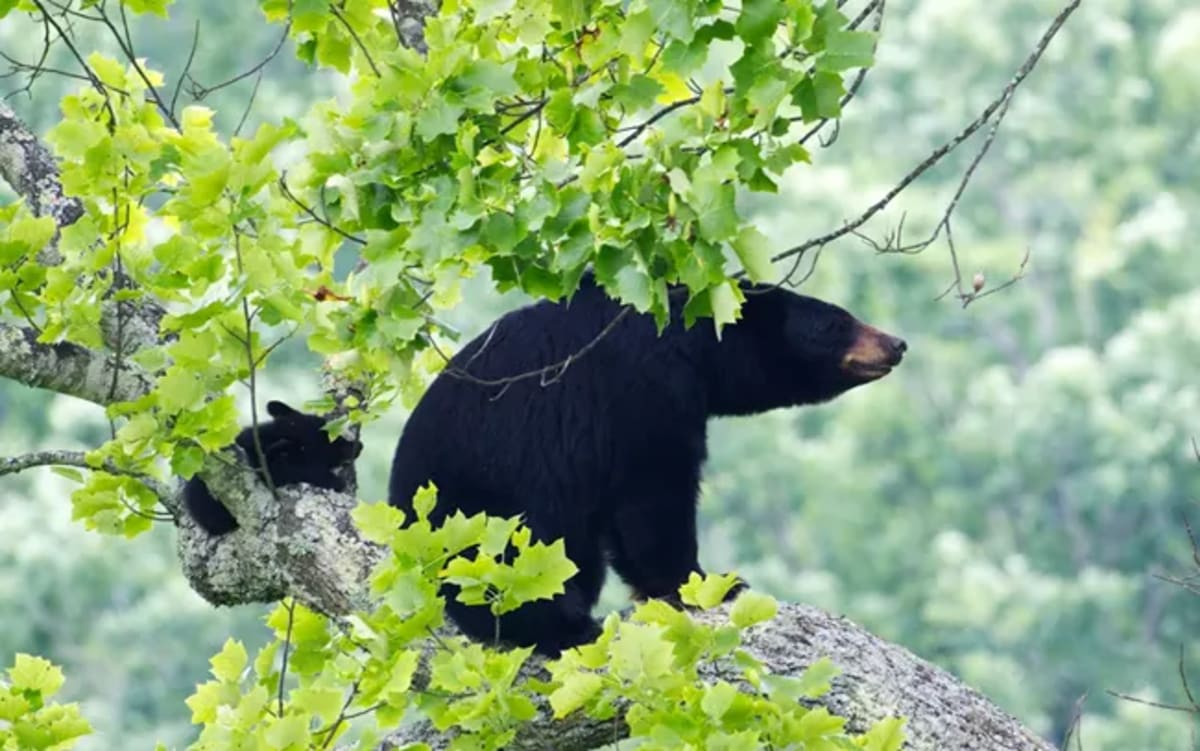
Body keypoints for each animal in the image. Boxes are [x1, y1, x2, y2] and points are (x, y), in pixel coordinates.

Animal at [388, 273, 905, 655]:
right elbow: (655, 493)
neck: (691, 342)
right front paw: (713, 583)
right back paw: (566, 627)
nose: (897, 343)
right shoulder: (642, 389)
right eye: (836, 323)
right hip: (480, 508)